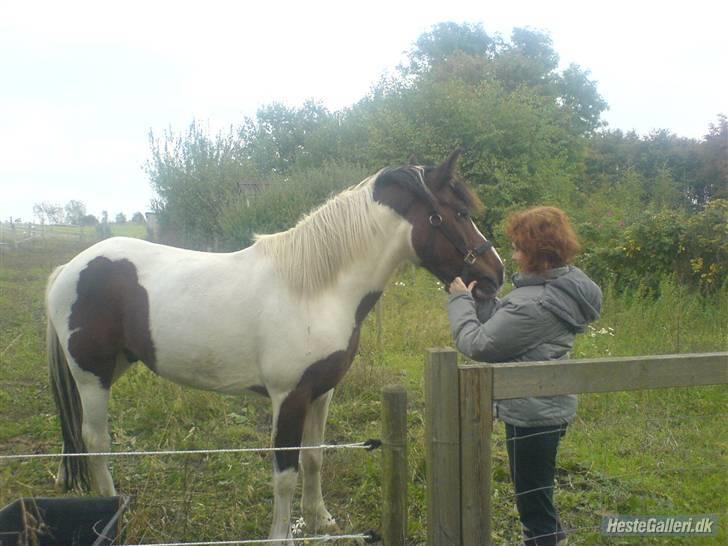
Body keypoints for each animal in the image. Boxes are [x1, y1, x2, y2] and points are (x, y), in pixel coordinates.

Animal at [44, 148, 500, 540]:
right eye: (459, 213)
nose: (495, 275)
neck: (316, 289)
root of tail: (71, 267)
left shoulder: (322, 393)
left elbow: (313, 457)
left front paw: (320, 520)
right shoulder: (289, 397)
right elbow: (284, 473)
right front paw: (282, 536)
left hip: (115, 366)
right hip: (92, 376)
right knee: (96, 443)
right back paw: (109, 517)